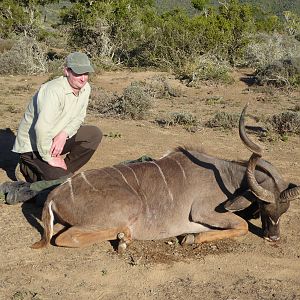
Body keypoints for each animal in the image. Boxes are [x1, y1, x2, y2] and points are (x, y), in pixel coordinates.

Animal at [31, 104, 300, 250]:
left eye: (284, 210)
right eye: (264, 207)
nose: (274, 237)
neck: (225, 177)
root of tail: (54, 195)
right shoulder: (202, 211)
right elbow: (242, 225)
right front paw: (190, 237)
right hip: (130, 206)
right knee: (66, 237)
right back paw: (125, 239)